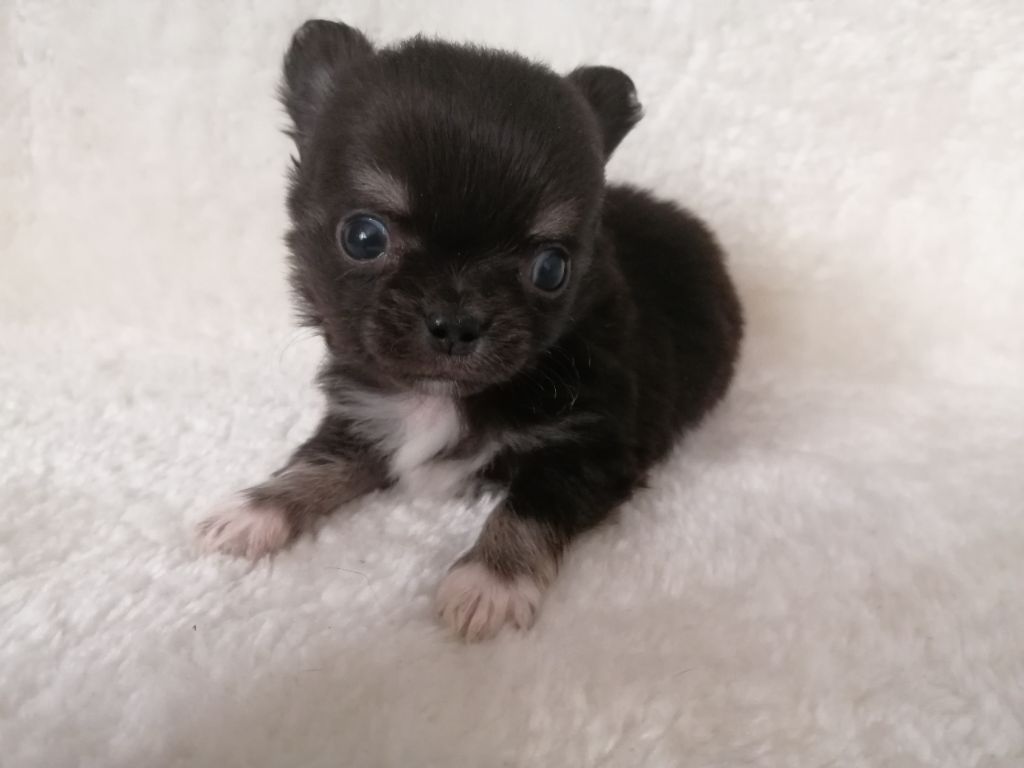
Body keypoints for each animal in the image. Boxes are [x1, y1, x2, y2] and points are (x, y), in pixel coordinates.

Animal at [197, 19, 744, 641]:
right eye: (363, 237)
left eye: (551, 269)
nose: (457, 322)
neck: (440, 398)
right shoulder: (364, 412)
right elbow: (319, 460)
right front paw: (257, 509)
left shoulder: (589, 446)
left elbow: (529, 506)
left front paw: (490, 582)